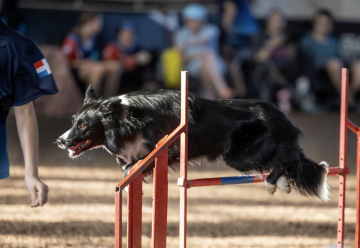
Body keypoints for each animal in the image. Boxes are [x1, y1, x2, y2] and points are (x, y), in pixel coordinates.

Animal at [56, 86, 330, 201]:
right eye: (73, 121)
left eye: (84, 125)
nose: (61, 140)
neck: (129, 117)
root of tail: (283, 118)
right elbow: (132, 166)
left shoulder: (167, 149)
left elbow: (133, 166)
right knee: (290, 159)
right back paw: (282, 181)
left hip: (242, 156)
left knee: (287, 158)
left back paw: (274, 182)